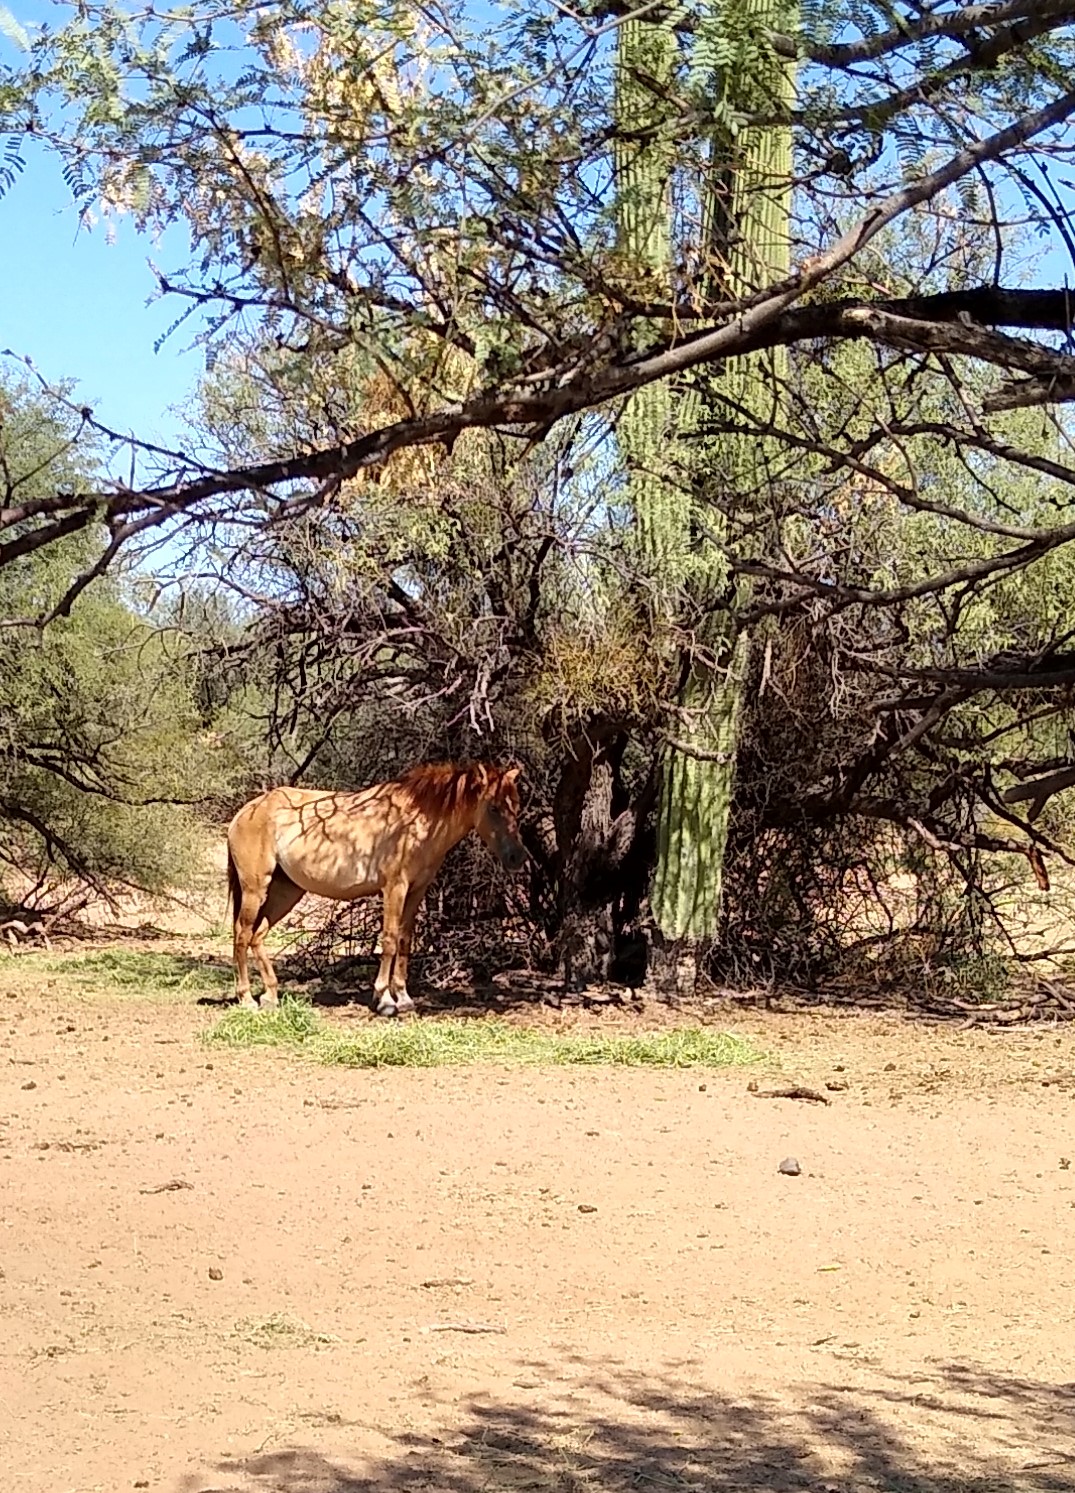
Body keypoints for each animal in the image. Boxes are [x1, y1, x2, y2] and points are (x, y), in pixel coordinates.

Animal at [225, 761, 525, 1017]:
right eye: (494, 808)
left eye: (516, 807)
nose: (517, 858)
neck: (417, 820)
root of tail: (245, 812)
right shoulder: (394, 888)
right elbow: (389, 940)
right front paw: (385, 999)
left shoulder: (416, 891)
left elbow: (405, 940)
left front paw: (403, 998)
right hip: (256, 888)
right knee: (242, 934)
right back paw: (247, 998)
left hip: (286, 892)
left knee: (257, 936)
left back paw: (270, 995)